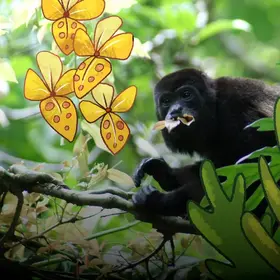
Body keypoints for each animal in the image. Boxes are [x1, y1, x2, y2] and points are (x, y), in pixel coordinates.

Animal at [132, 68, 278, 217]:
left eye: (186, 94)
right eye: (166, 101)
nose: (175, 111)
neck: (215, 110)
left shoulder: (239, 110)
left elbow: (252, 168)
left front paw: (159, 201)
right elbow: (210, 168)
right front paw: (165, 173)